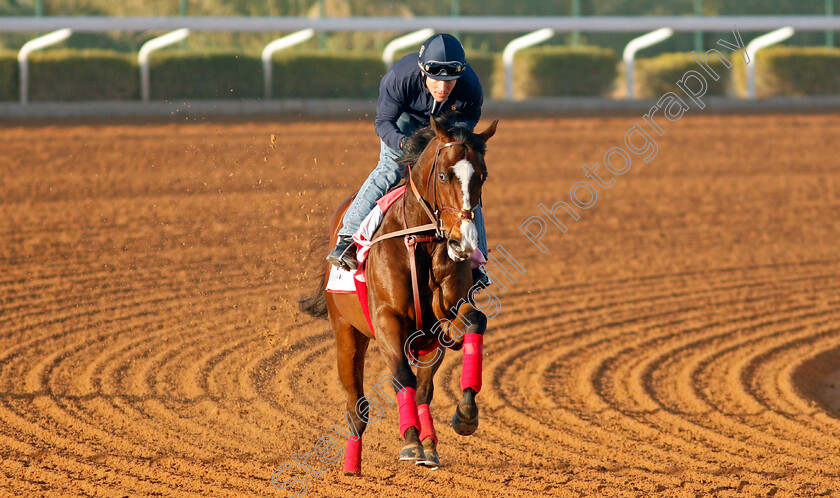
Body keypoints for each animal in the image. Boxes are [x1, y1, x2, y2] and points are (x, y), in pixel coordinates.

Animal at [300, 114, 498, 474]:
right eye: (444, 174)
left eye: (482, 175)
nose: (463, 241)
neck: (421, 240)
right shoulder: (387, 320)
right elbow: (401, 377)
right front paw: (409, 442)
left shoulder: (445, 319)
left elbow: (475, 323)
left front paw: (465, 415)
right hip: (346, 334)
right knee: (357, 408)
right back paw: (352, 466)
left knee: (423, 391)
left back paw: (430, 446)